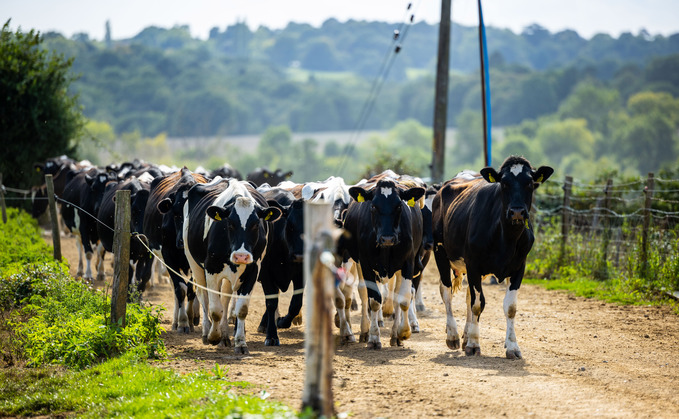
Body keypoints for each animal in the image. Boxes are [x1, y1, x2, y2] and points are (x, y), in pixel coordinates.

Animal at [142, 167, 209, 334]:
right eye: (176, 213)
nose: (181, 242)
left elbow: (191, 289)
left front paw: (190, 318)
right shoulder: (167, 256)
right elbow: (180, 289)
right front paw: (183, 321)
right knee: (175, 289)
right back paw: (175, 320)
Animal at [183, 179, 282, 352]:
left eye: (256, 224)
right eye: (230, 223)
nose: (241, 256)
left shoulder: (253, 269)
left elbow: (241, 309)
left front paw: (240, 342)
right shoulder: (211, 268)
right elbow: (215, 310)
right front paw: (213, 336)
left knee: (225, 298)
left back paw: (224, 336)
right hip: (194, 263)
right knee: (204, 297)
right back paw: (206, 332)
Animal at [340, 179, 424, 350]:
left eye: (399, 205)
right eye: (373, 206)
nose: (387, 238)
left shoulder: (408, 262)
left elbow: (403, 298)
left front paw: (402, 332)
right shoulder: (366, 263)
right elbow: (374, 300)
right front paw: (373, 337)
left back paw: (394, 335)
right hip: (352, 259)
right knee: (357, 292)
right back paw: (359, 332)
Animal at [436, 156, 552, 360]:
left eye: (530, 183)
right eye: (504, 183)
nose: (517, 212)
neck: (506, 238)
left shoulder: (518, 267)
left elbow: (510, 307)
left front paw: (512, 346)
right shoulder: (474, 265)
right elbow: (477, 304)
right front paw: (473, 344)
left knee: (467, 296)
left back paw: (465, 335)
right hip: (440, 252)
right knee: (447, 293)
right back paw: (453, 336)